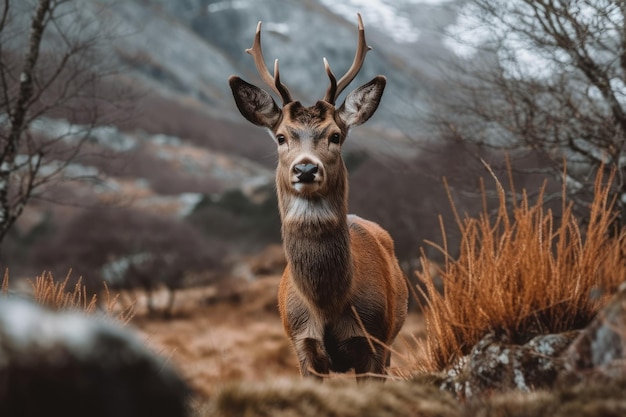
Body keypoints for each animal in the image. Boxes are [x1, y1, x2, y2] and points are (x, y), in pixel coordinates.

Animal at [227, 13, 408, 380]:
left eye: (335, 135)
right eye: (281, 137)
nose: (306, 169)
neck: (327, 305)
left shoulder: (373, 343)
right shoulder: (302, 346)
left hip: (390, 342)